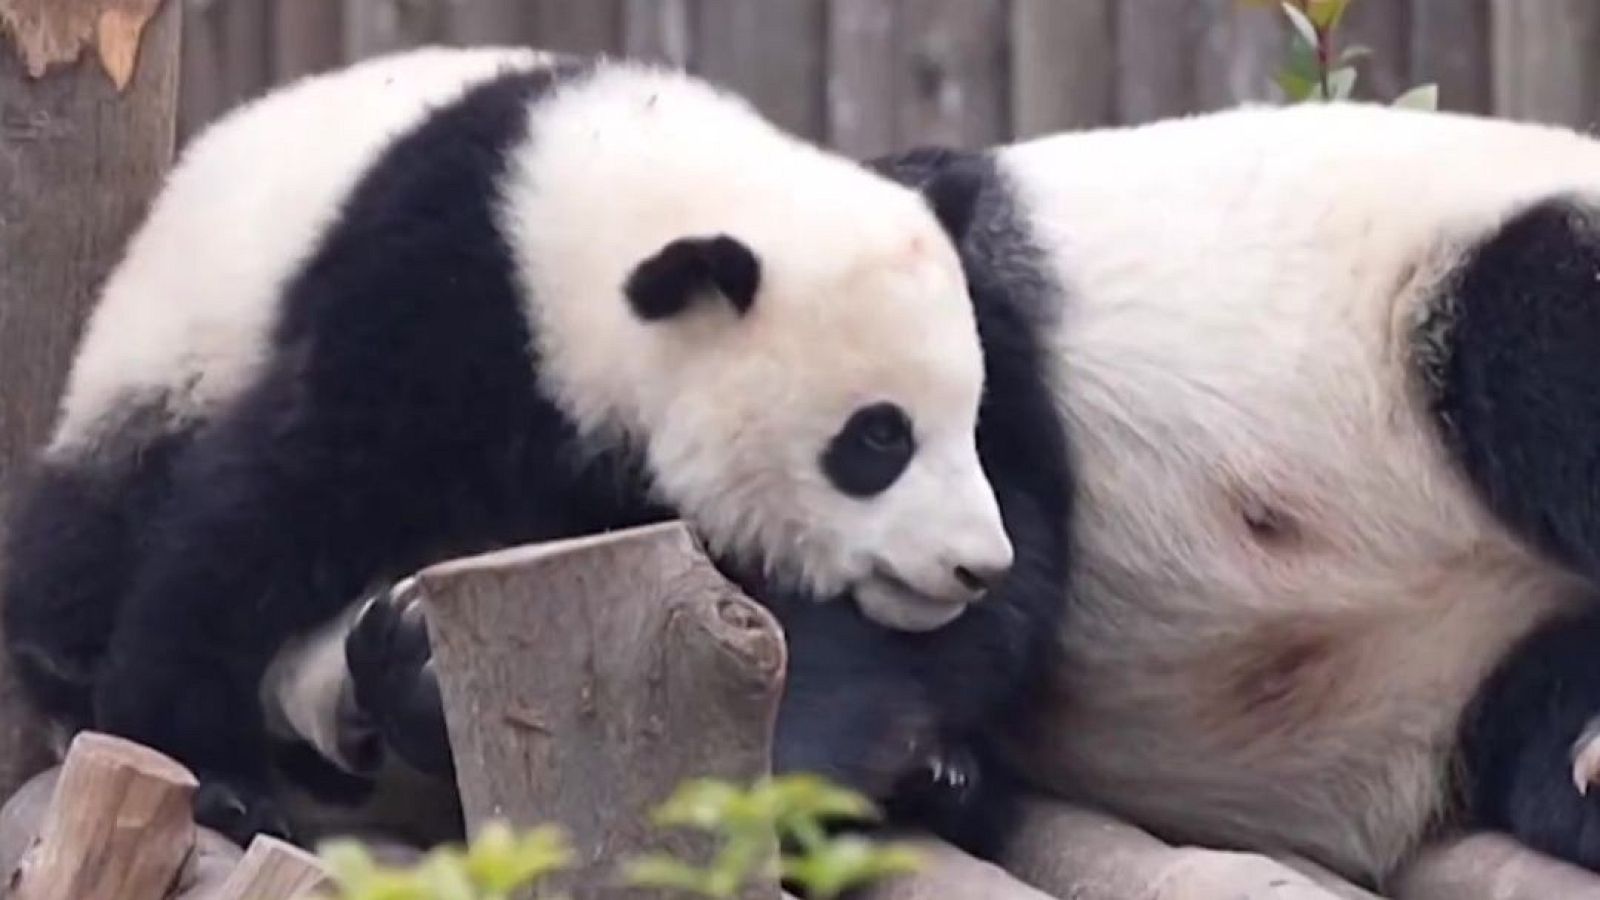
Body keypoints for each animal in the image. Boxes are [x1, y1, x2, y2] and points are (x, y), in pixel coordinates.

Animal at [1, 45, 1073, 850]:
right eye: (878, 437)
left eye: (962, 417)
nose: (972, 566)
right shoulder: (440, 296)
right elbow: (277, 502)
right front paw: (204, 762)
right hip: (164, 358)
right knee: (96, 528)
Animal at [308, 99, 1600, 888]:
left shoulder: (939, 327)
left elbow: (971, 560)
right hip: (1469, 685)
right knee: (1534, 731)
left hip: (1449, 282)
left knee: (1533, 339)